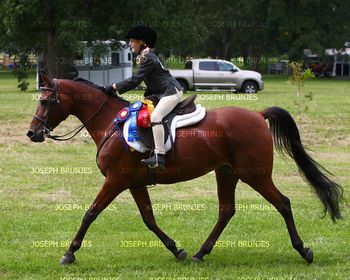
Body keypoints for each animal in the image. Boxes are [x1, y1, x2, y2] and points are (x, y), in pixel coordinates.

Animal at [26, 74, 342, 264]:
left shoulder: (116, 180)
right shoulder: (133, 182)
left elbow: (90, 213)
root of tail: (256, 114)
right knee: (227, 210)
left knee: (283, 203)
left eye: (45, 101)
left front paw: (69, 253)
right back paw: (201, 253)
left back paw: (304, 250)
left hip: (256, 174)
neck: (110, 123)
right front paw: (177, 249)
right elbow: (149, 219)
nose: (32, 133)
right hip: (226, 172)